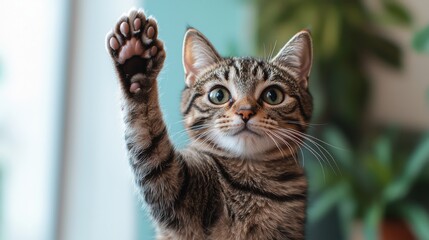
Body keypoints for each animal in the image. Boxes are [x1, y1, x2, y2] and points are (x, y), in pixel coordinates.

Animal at [105, 8, 312, 240]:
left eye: (273, 95)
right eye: (219, 95)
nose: (245, 111)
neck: (249, 177)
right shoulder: (173, 191)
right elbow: (150, 145)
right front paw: (135, 63)